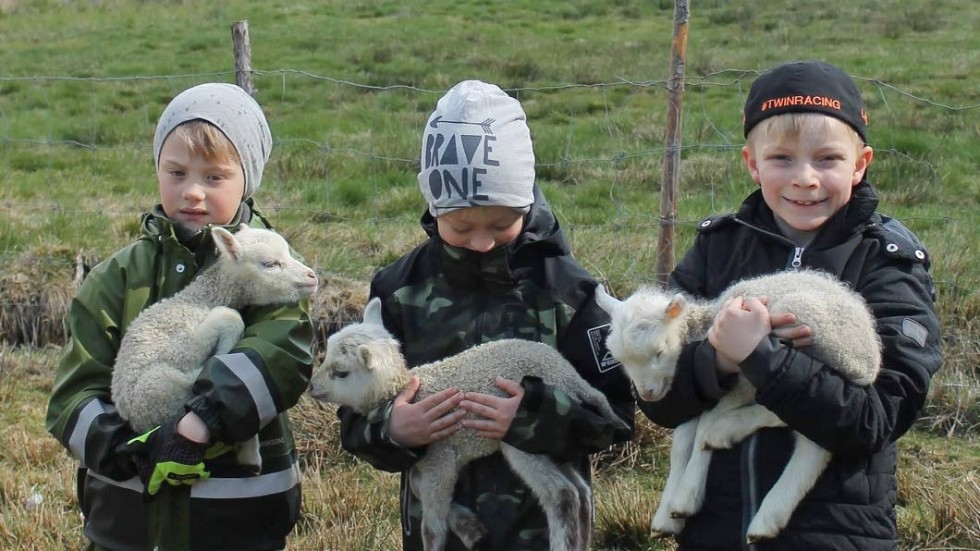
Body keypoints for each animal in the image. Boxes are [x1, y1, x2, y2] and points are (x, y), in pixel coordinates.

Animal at [112, 224, 318, 470]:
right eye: (270, 264)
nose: (312, 276)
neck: (201, 300)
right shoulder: (184, 346)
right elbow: (231, 318)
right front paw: (222, 351)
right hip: (159, 387)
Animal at [308, 298, 628, 551]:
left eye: (341, 372)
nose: (312, 387)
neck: (400, 390)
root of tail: (569, 377)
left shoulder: (440, 460)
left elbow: (431, 526)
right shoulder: (432, 463)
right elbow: (416, 486)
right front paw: (471, 529)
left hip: (523, 438)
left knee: (563, 494)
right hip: (555, 441)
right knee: (582, 492)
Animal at [592, 270, 884, 544]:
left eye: (659, 352)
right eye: (620, 359)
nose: (647, 394)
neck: (705, 324)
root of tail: (869, 359)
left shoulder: (738, 382)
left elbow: (703, 429)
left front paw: (686, 498)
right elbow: (682, 443)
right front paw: (667, 517)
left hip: (806, 334)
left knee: (807, 430)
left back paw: (728, 438)